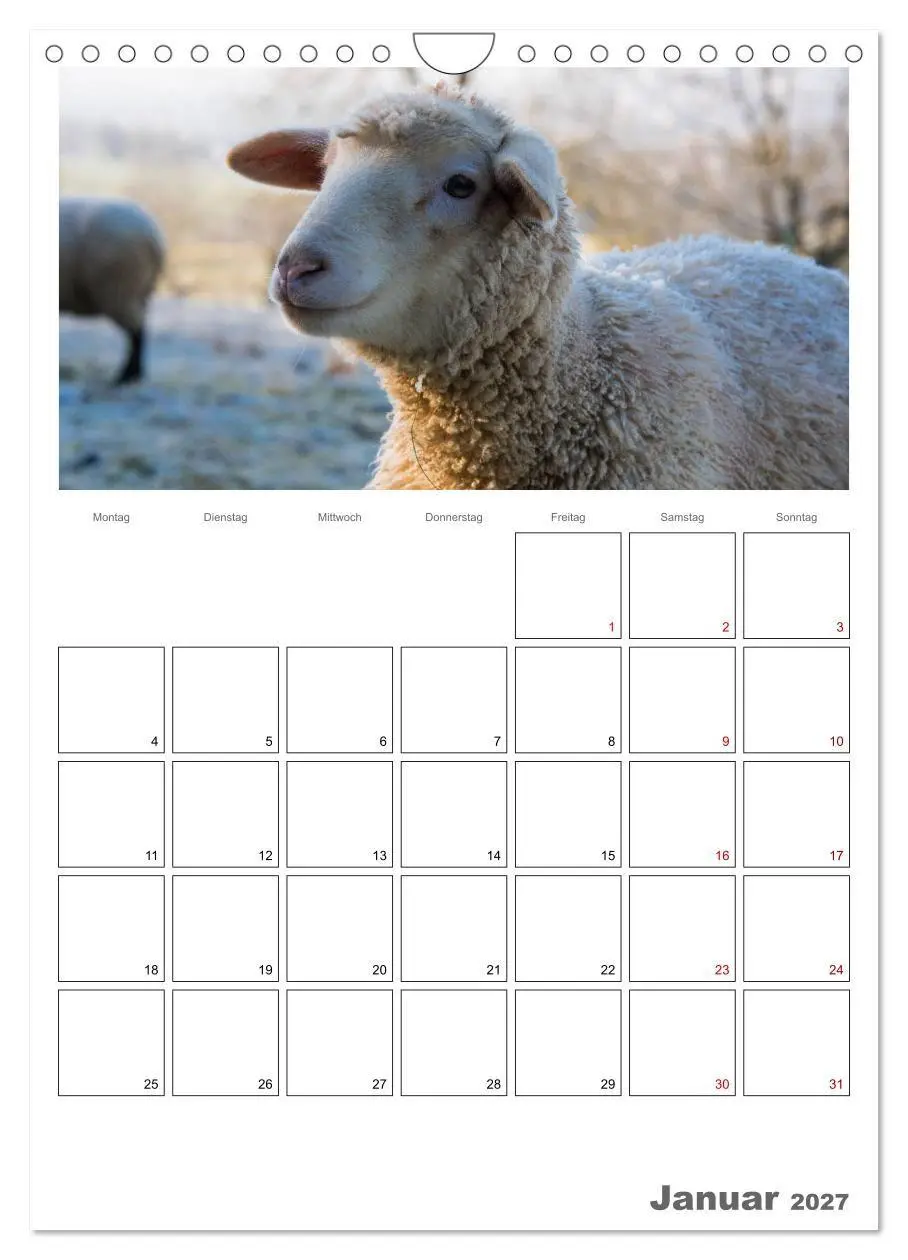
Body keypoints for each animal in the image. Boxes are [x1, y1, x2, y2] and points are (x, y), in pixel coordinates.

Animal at [59, 198, 165, 385]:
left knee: (136, 332)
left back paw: (126, 376)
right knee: (140, 327)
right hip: (139, 293)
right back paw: (134, 374)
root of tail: (154, 237)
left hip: (120, 291)